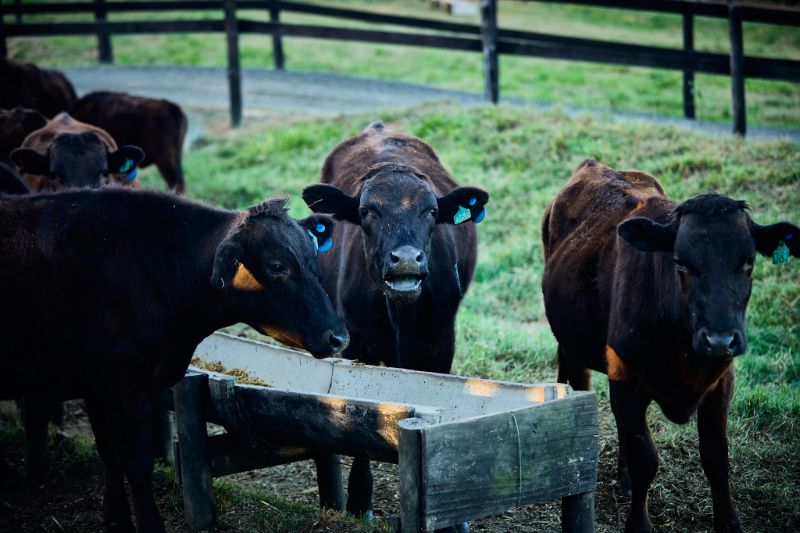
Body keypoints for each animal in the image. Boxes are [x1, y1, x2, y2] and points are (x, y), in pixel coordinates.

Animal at [0, 188, 350, 532]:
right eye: (277, 266)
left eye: (313, 258)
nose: (339, 337)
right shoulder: (120, 387)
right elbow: (134, 459)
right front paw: (148, 524)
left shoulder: (102, 387)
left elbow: (109, 452)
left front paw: (115, 518)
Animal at [540, 158, 796, 532]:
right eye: (680, 263)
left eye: (748, 263)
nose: (719, 339)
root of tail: (597, 165)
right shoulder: (625, 376)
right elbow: (646, 458)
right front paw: (638, 524)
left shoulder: (722, 381)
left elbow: (716, 457)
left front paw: (730, 523)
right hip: (574, 347)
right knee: (583, 387)